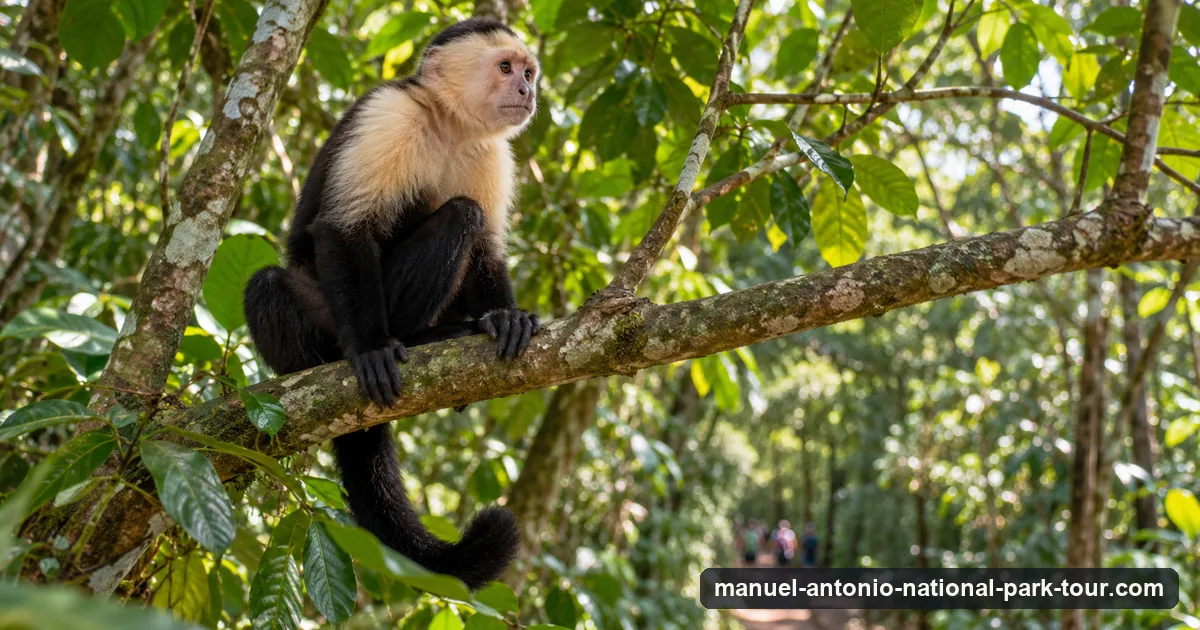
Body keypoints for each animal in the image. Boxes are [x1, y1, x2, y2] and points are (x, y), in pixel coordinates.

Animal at [243, 18, 540, 590]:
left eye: (528, 71)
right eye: (505, 68)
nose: (527, 91)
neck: (448, 125)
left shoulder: (491, 153)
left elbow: (488, 249)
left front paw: (504, 316)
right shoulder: (389, 114)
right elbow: (345, 228)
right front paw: (372, 349)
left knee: (467, 219)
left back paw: (442, 336)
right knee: (269, 285)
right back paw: (347, 357)